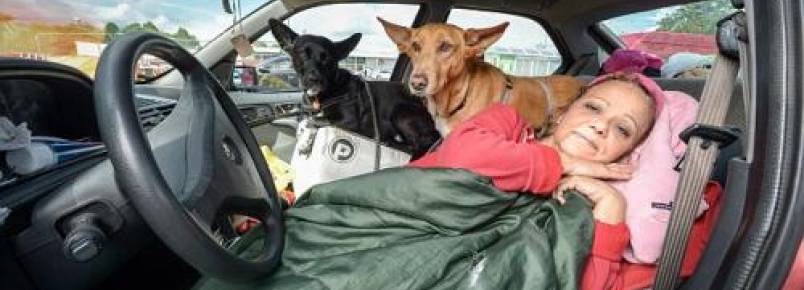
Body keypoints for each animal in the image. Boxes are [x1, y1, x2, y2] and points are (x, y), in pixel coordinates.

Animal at [270, 18, 440, 159]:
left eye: (328, 58)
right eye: (302, 54)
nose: (314, 80)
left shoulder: (349, 121)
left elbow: (312, 120)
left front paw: (304, 142)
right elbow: (306, 119)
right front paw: (302, 135)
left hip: (401, 112)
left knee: (420, 143)